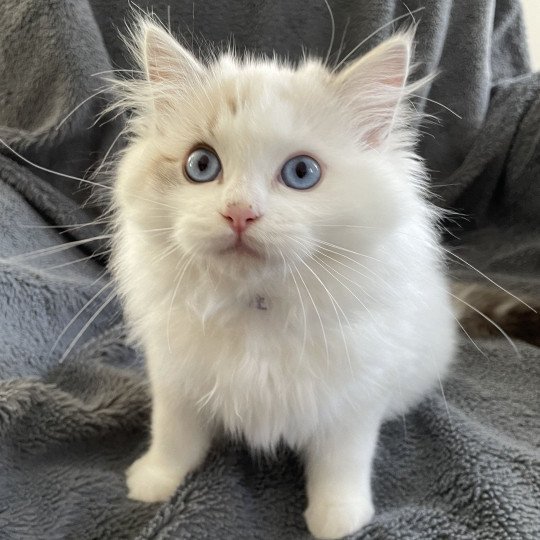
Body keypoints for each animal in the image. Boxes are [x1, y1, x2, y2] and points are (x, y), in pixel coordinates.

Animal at [113, 20, 456, 540]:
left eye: (301, 172)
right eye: (201, 165)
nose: (239, 212)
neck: (259, 305)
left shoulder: (353, 396)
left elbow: (341, 464)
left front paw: (339, 520)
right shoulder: (175, 376)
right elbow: (174, 435)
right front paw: (154, 482)